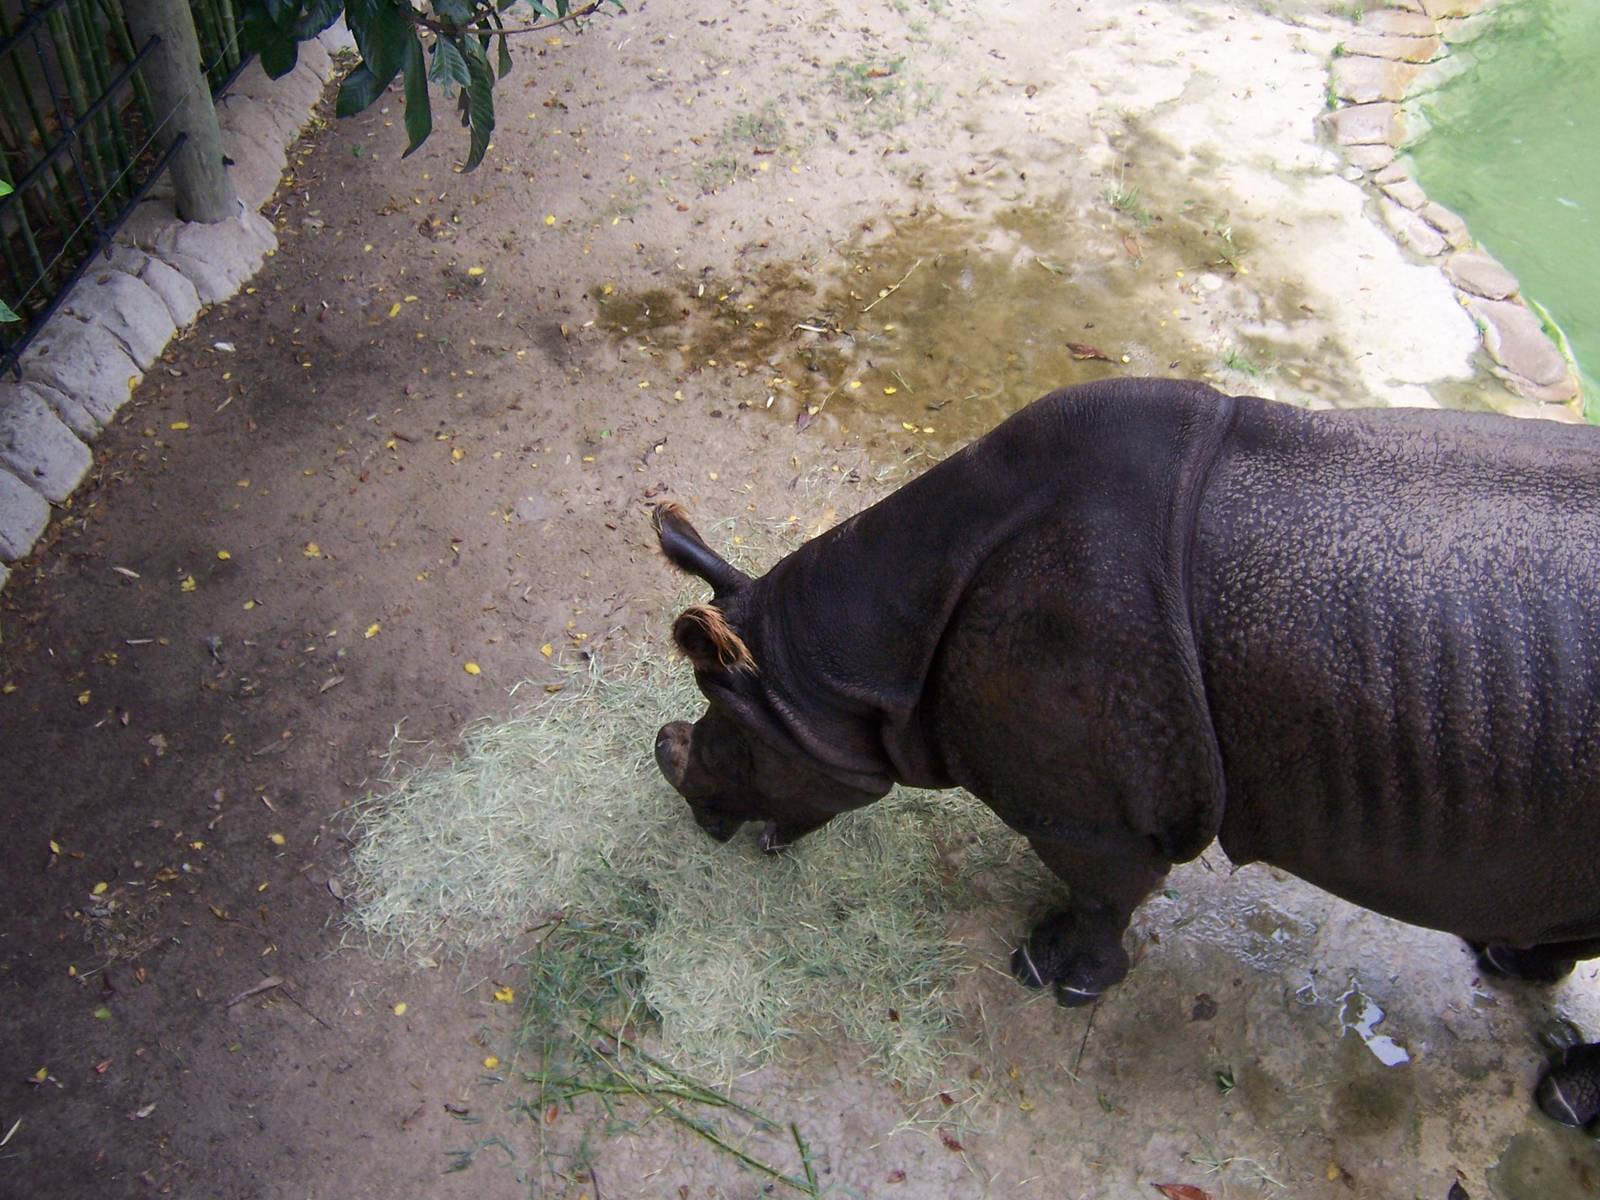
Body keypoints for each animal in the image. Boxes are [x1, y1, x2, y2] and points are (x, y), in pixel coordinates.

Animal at [652, 377, 1600, 1125]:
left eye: (729, 749)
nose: (685, 795)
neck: (852, 663)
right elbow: (1104, 887)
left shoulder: (1086, 813)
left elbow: (1102, 892)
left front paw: (1052, 975)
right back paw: (1508, 959)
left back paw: (1558, 1098)